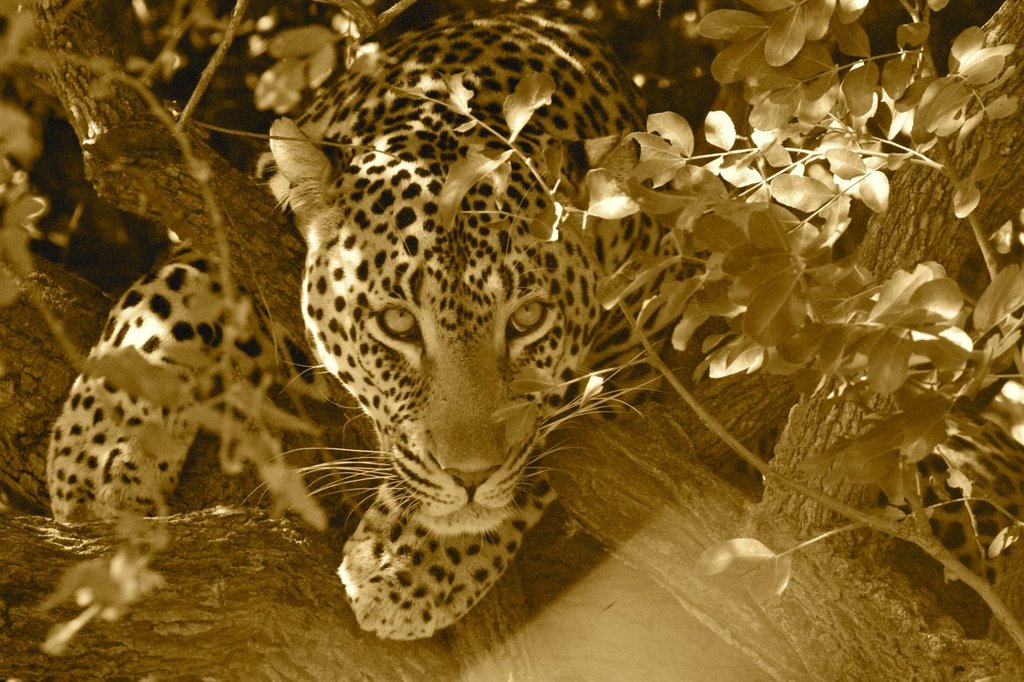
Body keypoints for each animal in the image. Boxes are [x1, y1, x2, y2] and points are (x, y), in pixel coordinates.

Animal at [47, 8, 665, 640]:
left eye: (528, 318)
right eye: (397, 323)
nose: (470, 476)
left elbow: (547, 436)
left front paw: (404, 564)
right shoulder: (245, 211)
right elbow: (177, 284)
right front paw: (99, 453)